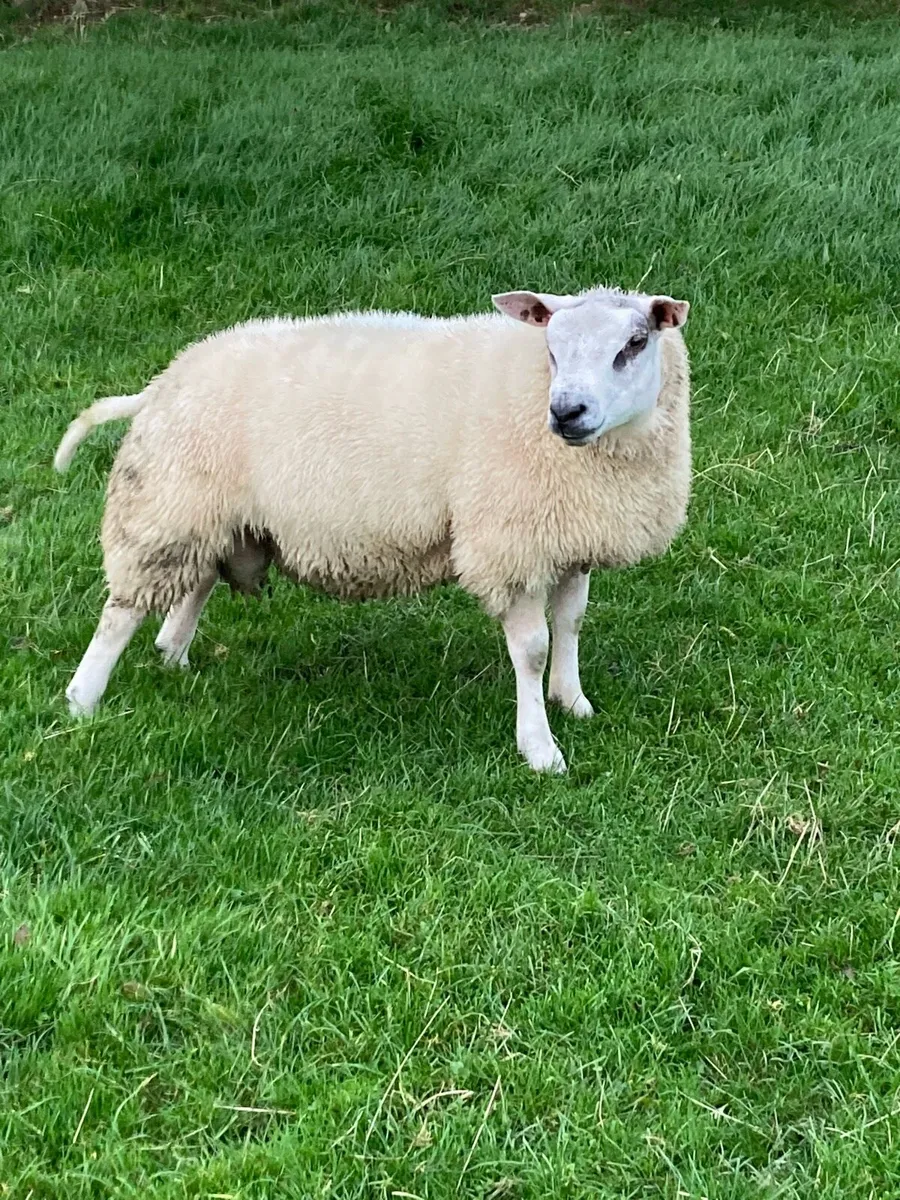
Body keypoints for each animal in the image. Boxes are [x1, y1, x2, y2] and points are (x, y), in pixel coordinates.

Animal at [54, 284, 691, 772]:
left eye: (634, 344)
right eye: (552, 349)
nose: (566, 412)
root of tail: (164, 380)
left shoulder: (569, 536)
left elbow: (572, 621)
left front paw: (572, 700)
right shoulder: (508, 542)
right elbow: (532, 650)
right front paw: (539, 748)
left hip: (216, 515)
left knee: (194, 586)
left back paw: (173, 658)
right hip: (167, 504)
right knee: (120, 613)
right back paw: (82, 700)